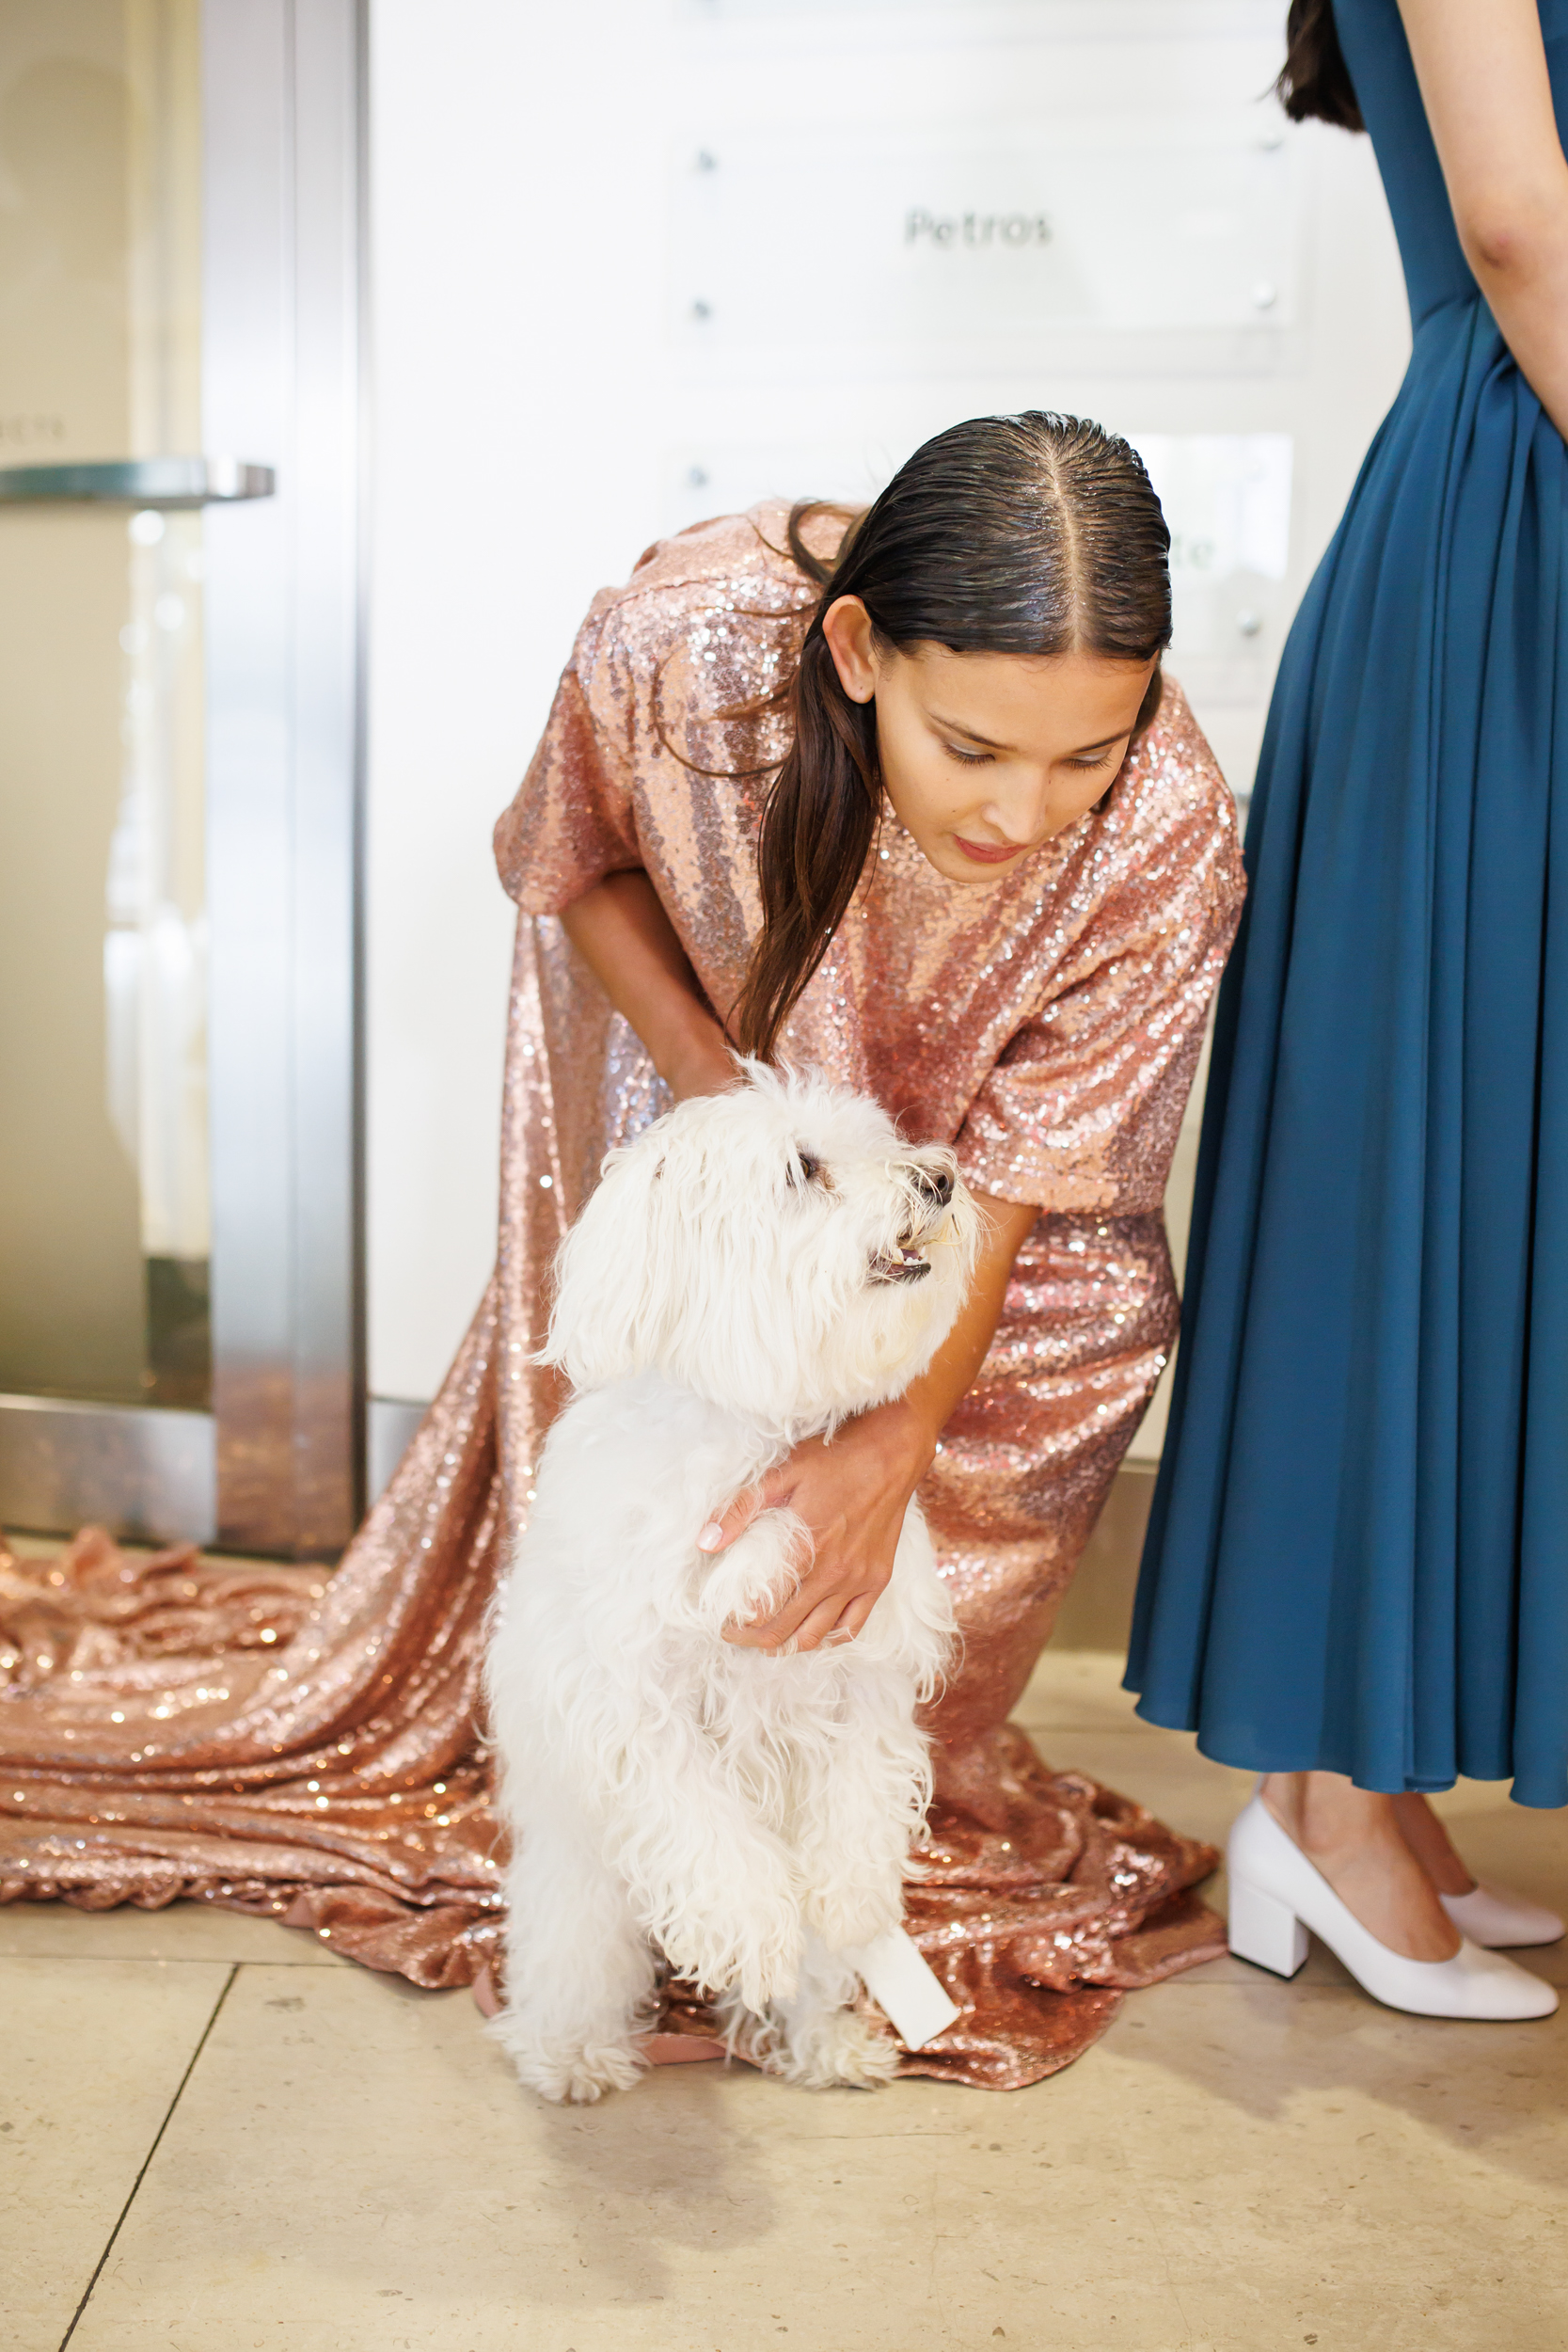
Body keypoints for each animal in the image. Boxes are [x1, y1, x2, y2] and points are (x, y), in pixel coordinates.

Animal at [486, 1058, 982, 2107]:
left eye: (881, 1140)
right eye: (802, 1168)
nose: (939, 1177)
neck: (758, 1440)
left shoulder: (859, 1669)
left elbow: (858, 1801)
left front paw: (850, 1895)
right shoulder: (630, 1697)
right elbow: (700, 1821)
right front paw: (750, 1930)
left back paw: (824, 2038)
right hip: (582, 1875)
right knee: (570, 1955)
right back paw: (572, 2049)